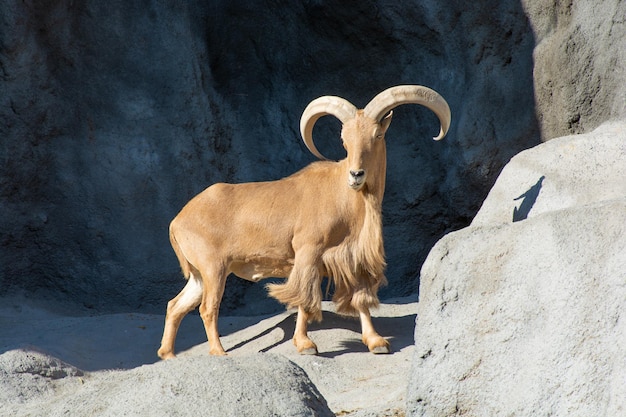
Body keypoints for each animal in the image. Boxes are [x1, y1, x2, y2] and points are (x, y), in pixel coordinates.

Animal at [156, 84, 448, 358]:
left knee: (175, 305)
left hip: (199, 274)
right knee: (208, 308)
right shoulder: (309, 252)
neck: (344, 197)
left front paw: (376, 342)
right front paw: (306, 344)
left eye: (377, 135)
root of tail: (177, 221)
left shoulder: (352, 258)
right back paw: (219, 353)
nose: (356, 174)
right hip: (213, 268)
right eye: (344, 140)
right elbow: (304, 301)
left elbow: (360, 299)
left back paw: (168, 355)